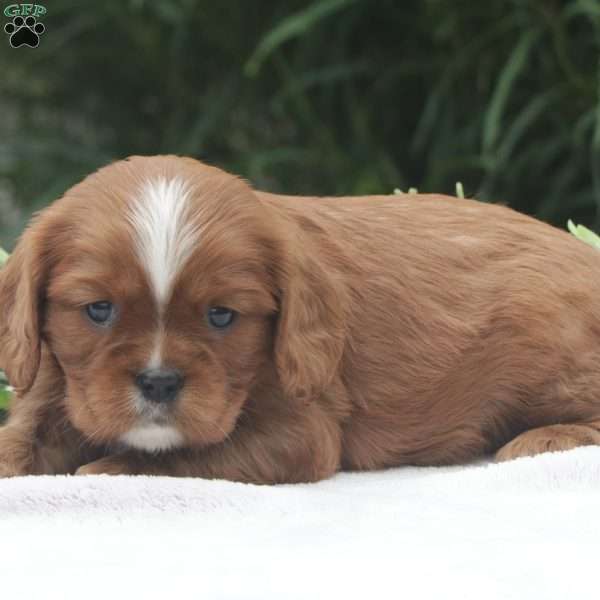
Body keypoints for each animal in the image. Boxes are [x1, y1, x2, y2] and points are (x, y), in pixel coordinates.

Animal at [1, 156, 600, 482]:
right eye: (98, 310)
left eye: (222, 316)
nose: (159, 381)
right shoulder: (55, 384)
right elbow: (20, 439)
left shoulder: (301, 428)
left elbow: (194, 454)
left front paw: (110, 467)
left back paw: (544, 439)